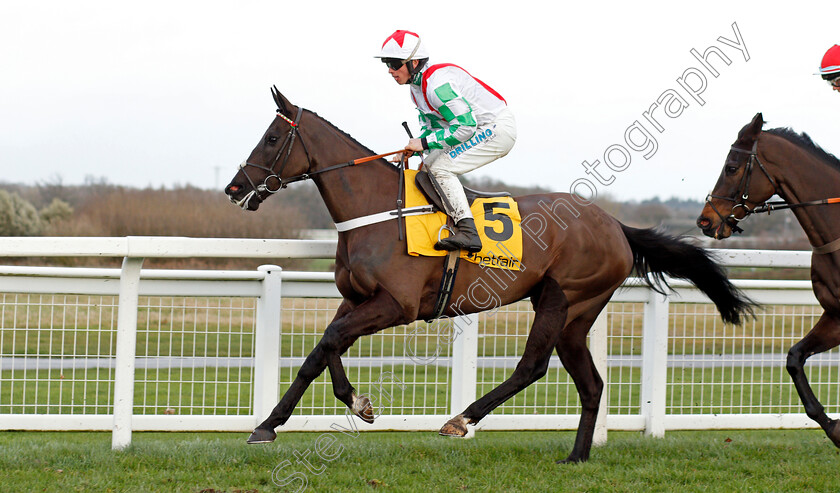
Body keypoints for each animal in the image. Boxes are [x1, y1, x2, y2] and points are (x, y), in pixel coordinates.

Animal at [225, 87, 756, 462]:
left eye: (271, 138)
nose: (234, 188)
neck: (378, 211)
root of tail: (614, 225)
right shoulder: (356, 299)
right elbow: (325, 349)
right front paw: (342, 406)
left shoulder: (396, 306)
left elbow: (327, 344)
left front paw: (283, 420)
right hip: (577, 315)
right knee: (591, 383)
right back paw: (576, 457)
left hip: (563, 297)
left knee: (533, 366)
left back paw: (462, 420)